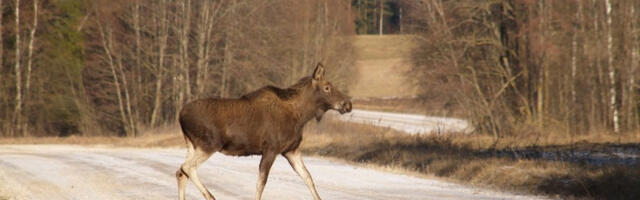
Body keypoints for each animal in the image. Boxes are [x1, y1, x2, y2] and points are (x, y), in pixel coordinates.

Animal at [175, 63, 352, 200]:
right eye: (327, 88)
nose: (348, 104)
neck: (301, 116)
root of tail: (180, 115)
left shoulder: (291, 150)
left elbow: (308, 178)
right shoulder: (271, 149)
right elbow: (261, 183)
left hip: (192, 145)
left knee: (180, 172)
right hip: (210, 144)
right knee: (187, 167)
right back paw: (211, 196)